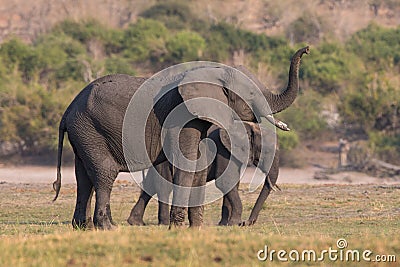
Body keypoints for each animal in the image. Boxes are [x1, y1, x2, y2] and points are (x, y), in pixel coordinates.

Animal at [130, 122, 280, 227]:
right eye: (266, 152)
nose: (247, 223)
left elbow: (232, 183)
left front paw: (225, 224)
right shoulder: (224, 150)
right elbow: (225, 182)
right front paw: (234, 223)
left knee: (150, 185)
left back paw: (135, 222)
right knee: (163, 187)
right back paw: (164, 223)